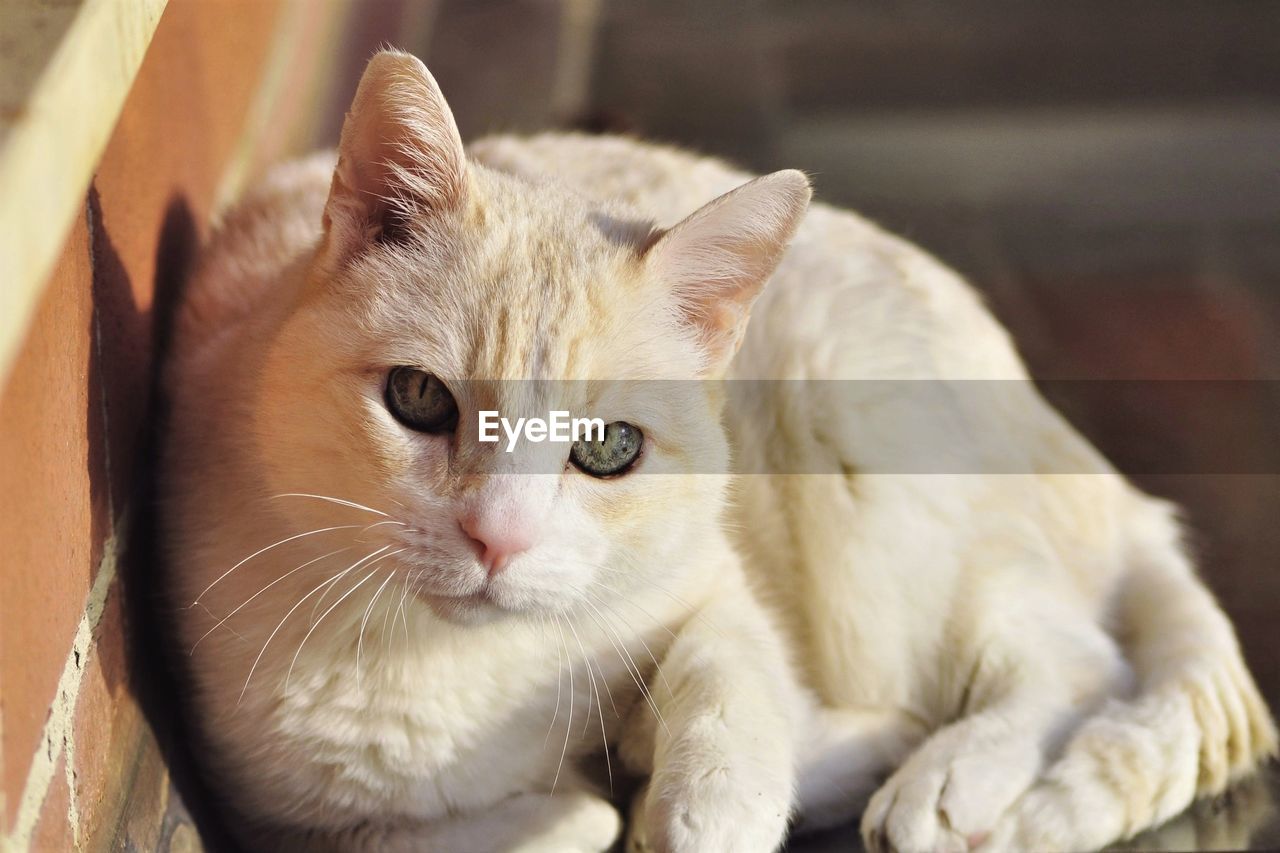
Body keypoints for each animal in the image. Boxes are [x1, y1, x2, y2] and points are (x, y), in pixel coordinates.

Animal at [162, 48, 1280, 850]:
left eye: (609, 448)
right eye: (418, 399)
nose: (497, 539)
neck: (453, 666)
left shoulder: (712, 580)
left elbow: (728, 679)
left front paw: (716, 797)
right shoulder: (270, 813)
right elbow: (497, 825)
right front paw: (592, 795)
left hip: (865, 472)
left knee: (1074, 659)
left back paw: (943, 773)